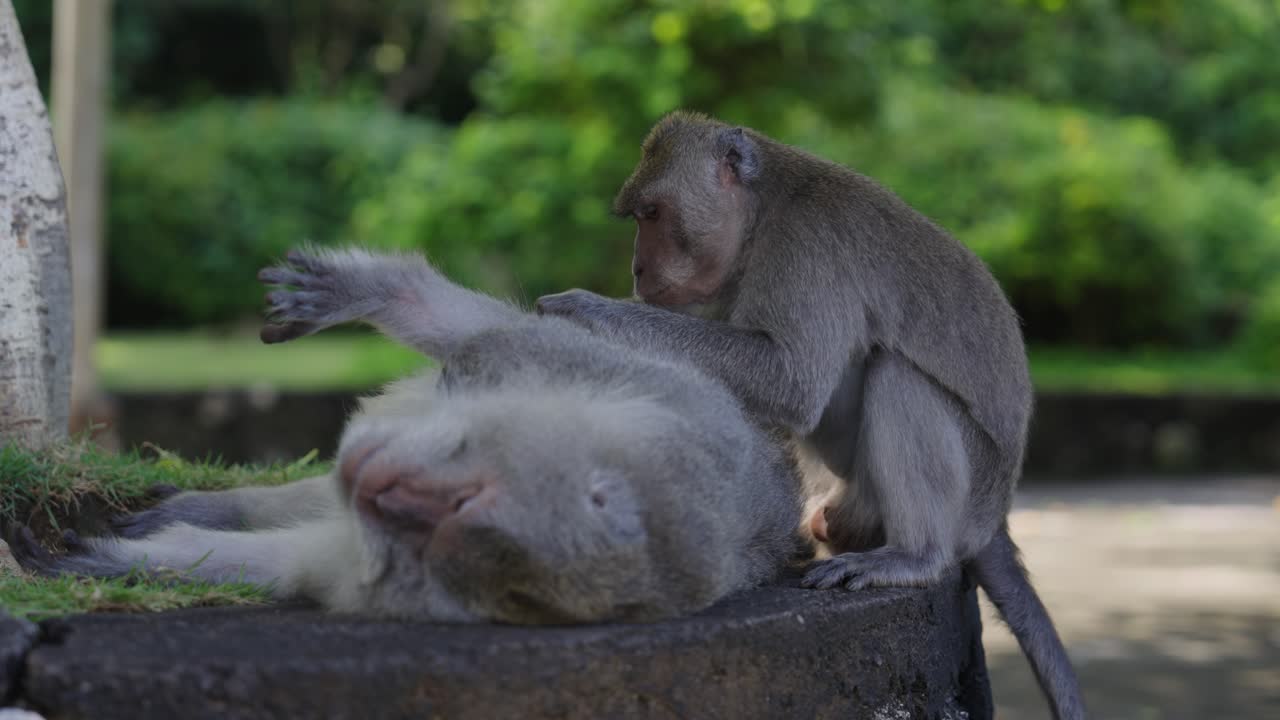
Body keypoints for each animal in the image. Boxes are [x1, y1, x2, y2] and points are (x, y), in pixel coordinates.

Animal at [12, 247, 807, 624]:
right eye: (466, 498)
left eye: (428, 545)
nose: (376, 490)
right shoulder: (647, 398)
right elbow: (493, 346)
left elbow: (291, 565)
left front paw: (125, 566)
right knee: (495, 329)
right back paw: (385, 291)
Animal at [535, 111, 1086, 719]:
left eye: (652, 214)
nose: (636, 268)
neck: (762, 211)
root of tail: (997, 520)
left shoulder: (805, 252)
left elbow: (789, 379)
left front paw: (584, 311)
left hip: (971, 493)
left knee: (898, 377)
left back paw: (914, 556)